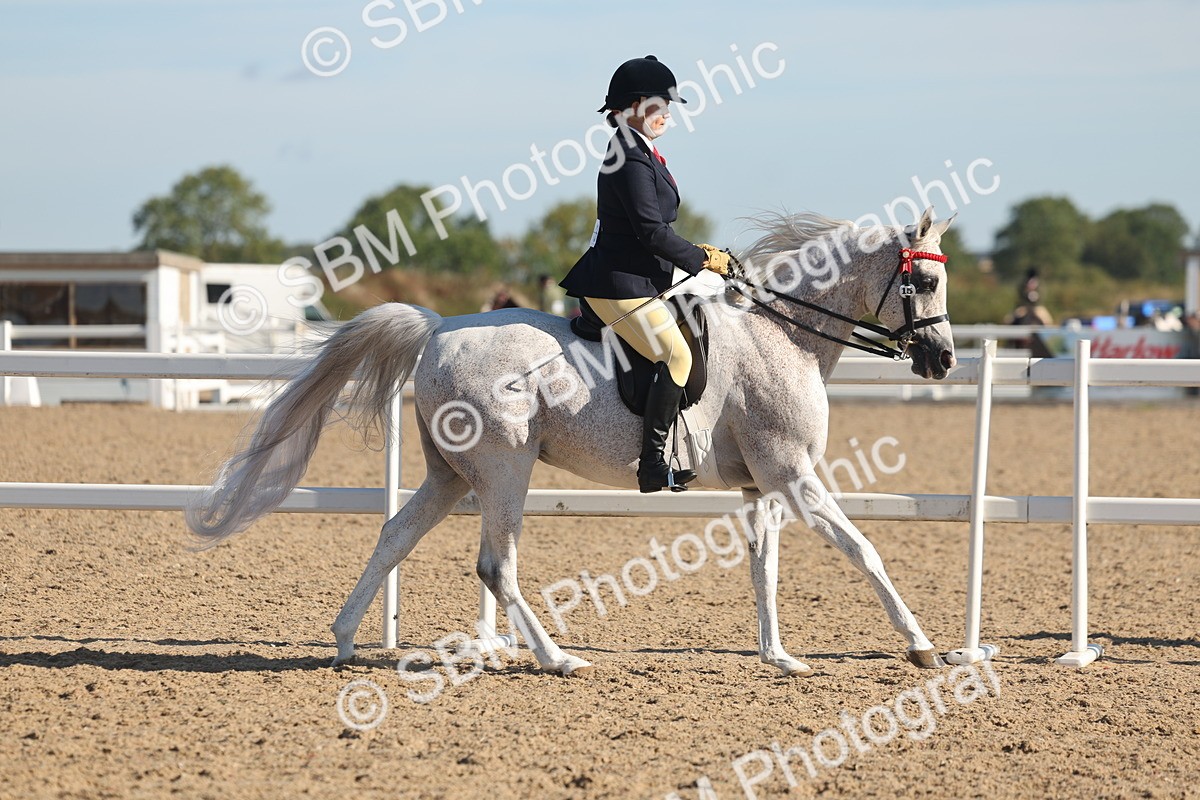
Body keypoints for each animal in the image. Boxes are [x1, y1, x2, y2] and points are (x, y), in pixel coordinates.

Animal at [186, 206, 957, 678]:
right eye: (922, 280)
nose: (943, 361)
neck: (785, 336)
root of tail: (438, 328)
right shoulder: (793, 475)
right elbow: (863, 549)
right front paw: (921, 646)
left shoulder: (760, 483)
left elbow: (763, 568)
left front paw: (779, 657)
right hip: (505, 467)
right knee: (495, 565)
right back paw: (556, 658)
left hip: (452, 475)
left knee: (395, 534)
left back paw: (345, 640)